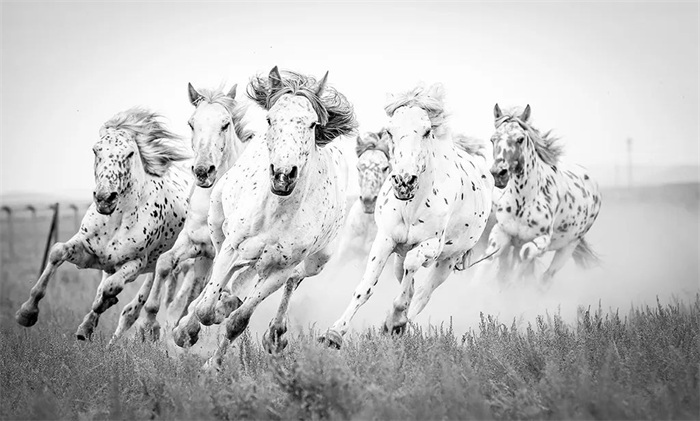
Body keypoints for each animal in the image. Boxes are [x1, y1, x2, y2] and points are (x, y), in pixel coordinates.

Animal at [16, 108, 192, 341]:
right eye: (95, 150)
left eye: (130, 153)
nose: (105, 198)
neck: (116, 220)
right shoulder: (87, 251)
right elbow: (57, 252)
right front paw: (27, 312)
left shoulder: (135, 263)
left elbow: (110, 288)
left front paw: (97, 314)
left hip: (154, 266)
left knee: (136, 302)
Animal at [108, 84, 258, 344]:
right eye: (191, 123)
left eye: (225, 124)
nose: (203, 171)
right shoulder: (194, 243)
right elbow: (165, 263)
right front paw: (149, 323)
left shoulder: (221, 254)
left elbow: (214, 289)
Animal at [172, 66, 356, 366]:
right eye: (271, 119)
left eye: (312, 124)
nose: (283, 174)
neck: (276, 214)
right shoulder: (232, 248)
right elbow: (207, 308)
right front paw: (187, 331)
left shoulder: (279, 269)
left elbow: (239, 320)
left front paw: (213, 364)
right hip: (218, 230)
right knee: (221, 277)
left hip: (316, 261)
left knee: (290, 279)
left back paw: (274, 334)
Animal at [483, 104, 601, 284]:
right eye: (493, 139)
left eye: (520, 139)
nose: (498, 173)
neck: (524, 201)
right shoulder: (502, 233)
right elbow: (488, 262)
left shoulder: (540, 241)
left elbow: (525, 258)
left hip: (568, 247)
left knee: (545, 278)